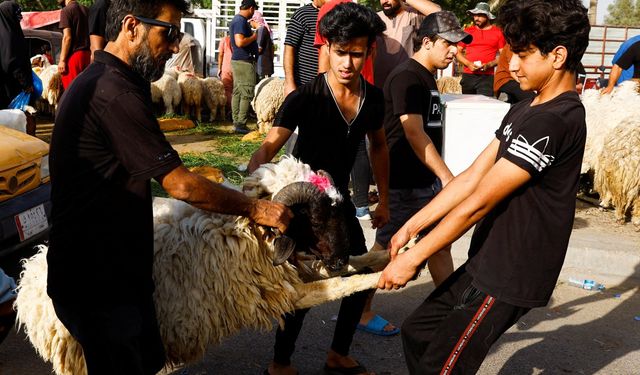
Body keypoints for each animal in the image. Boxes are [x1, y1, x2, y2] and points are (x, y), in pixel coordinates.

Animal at [16, 157, 384, 374]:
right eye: (316, 218)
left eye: (340, 210)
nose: (337, 259)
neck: (249, 230)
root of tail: (28, 282)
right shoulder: (280, 294)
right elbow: (340, 285)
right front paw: (381, 275)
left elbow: (356, 265)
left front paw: (387, 254)